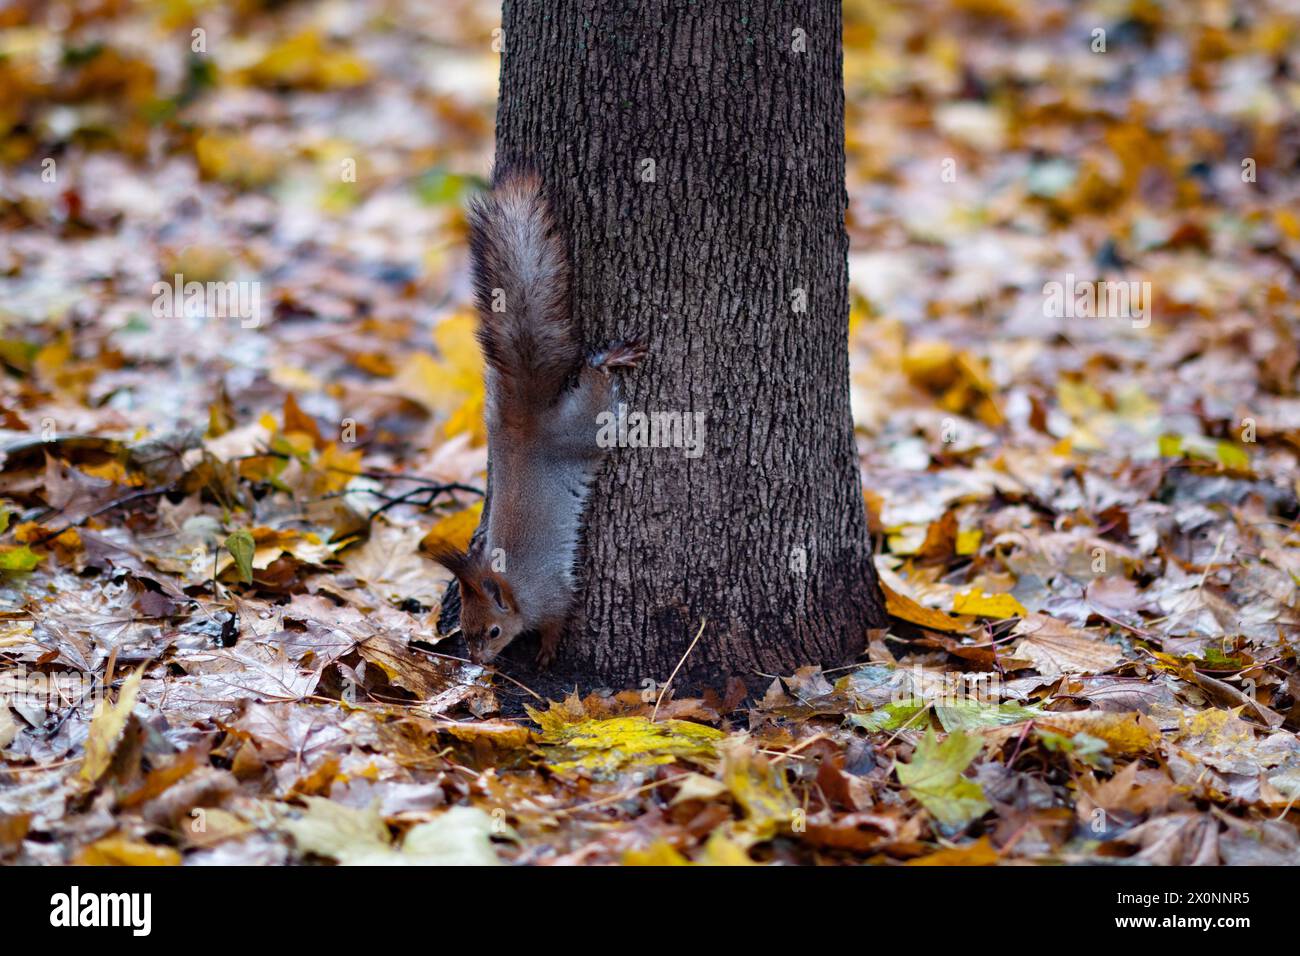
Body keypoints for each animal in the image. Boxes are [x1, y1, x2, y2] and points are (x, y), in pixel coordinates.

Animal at [431, 170, 644, 665]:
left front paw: (546, 652)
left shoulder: (553, 594)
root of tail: (524, 421)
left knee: (597, 388)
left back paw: (611, 359)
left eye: (492, 631)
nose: (478, 660)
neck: (513, 588)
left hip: (583, 430)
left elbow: (559, 619)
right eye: (464, 627)